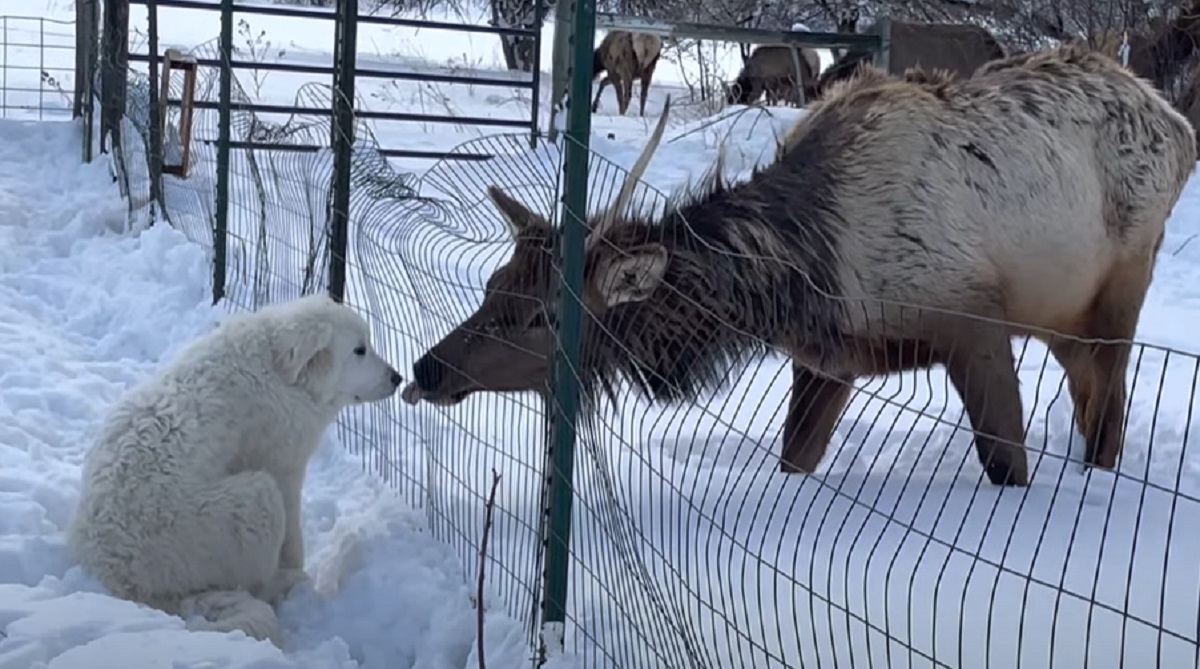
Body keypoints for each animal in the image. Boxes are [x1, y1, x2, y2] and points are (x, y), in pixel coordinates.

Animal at [66, 294, 403, 652]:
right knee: (256, 583)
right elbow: (293, 542)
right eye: (359, 350)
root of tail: (120, 580)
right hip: (256, 497)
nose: (397, 377)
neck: (280, 371)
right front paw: (300, 574)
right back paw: (286, 583)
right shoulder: (283, 470)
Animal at [408, 45, 1195, 486]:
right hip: (1062, 319)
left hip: (1118, 291)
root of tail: (1181, 125)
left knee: (1108, 419)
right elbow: (795, 457)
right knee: (1093, 408)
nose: (427, 368)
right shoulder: (831, 358)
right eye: (492, 285)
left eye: (542, 314)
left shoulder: (972, 319)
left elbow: (1009, 466)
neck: (800, 278)